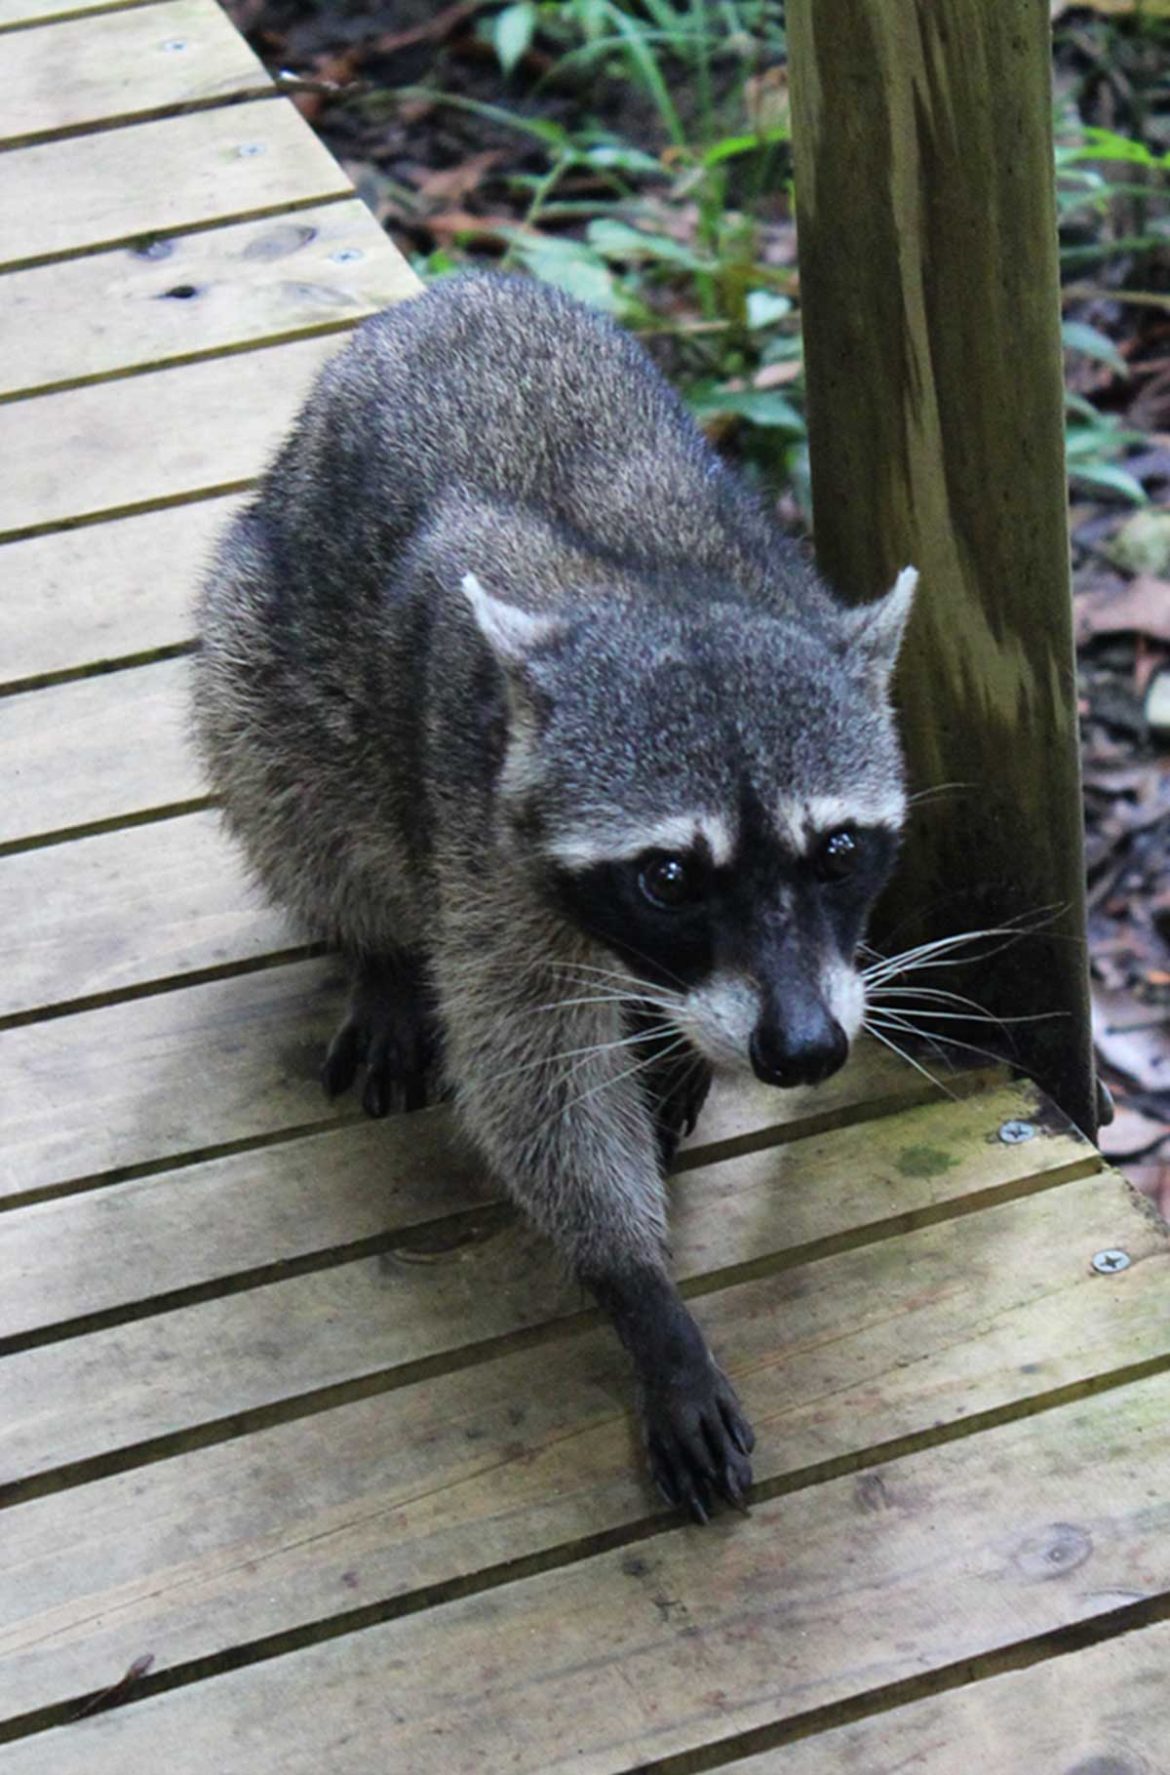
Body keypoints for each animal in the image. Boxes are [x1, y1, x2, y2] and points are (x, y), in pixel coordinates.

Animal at [197, 269, 923, 1519]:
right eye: (670, 876)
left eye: (836, 851)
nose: (801, 1050)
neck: (655, 588)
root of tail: (457, 286)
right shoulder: (482, 839)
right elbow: (531, 1078)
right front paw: (642, 1293)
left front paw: (678, 1049)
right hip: (269, 642)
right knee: (292, 785)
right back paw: (373, 945)